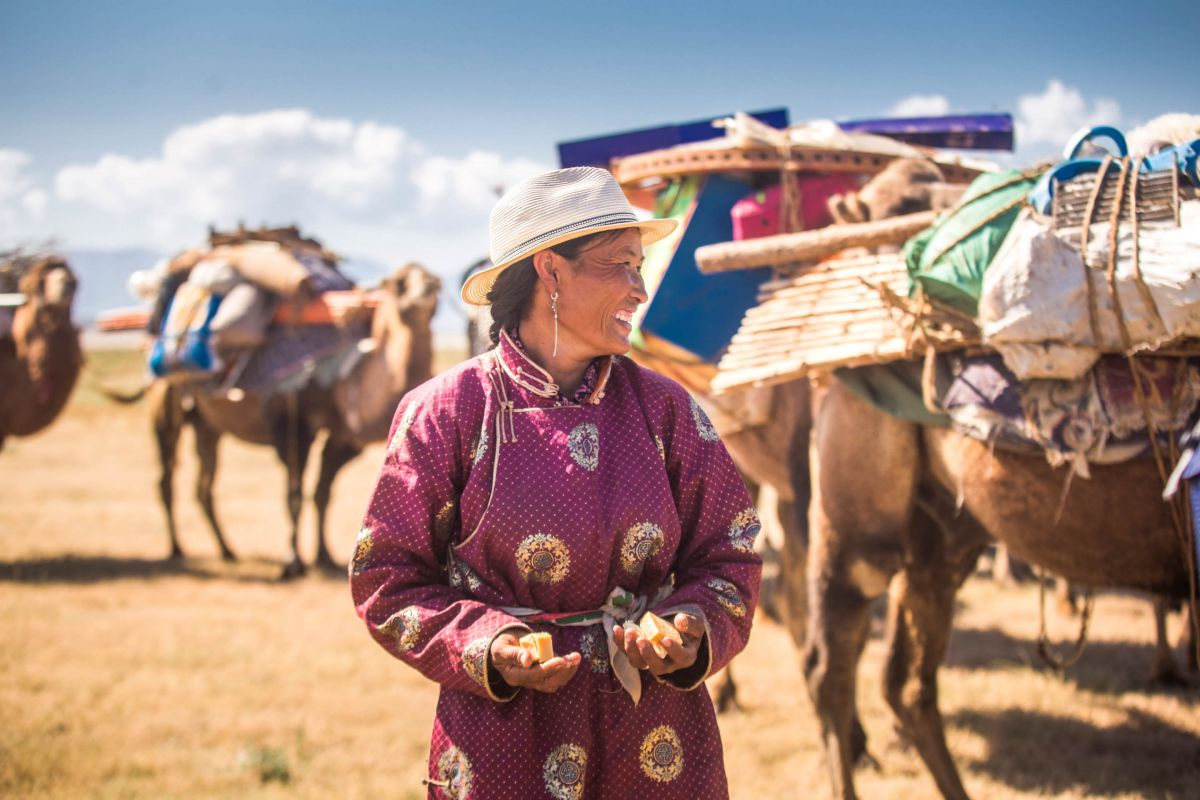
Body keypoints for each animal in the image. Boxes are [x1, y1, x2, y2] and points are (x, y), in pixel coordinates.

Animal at [143, 260, 439, 578]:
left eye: (432, 278)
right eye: (400, 283)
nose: (431, 286)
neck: (344, 378)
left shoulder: (342, 437)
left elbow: (322, 493)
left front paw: (323, 556)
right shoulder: (292, 426)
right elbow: (294, 495)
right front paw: (292, 562)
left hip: (206, 425)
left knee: (203, 485)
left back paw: (227, 550)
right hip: (166, 406)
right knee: (166, 478)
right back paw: (177, 548)